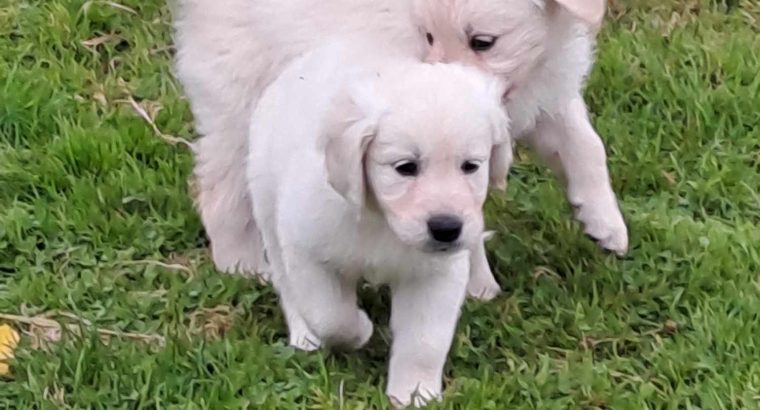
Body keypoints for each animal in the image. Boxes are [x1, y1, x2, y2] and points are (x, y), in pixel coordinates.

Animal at [246, 37, 512, 406]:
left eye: (471, 166)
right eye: (406, 167)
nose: (446, 228)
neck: (382, 222)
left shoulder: (435, 275)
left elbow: (424, 341)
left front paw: (416, 394)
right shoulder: (306, 250)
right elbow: (331, 315)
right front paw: (360, 329)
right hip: (267, 202)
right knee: (288, 285)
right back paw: (303, 335)